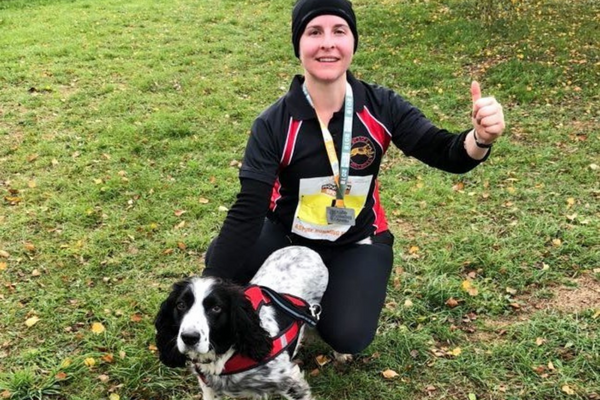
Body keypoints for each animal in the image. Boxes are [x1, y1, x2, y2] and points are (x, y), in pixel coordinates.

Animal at [155, 247, 328, 400]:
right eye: (181, 305)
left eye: (216, 308)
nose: (189, 337)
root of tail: (304, 248)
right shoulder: (210, 389)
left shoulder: (291, 382)